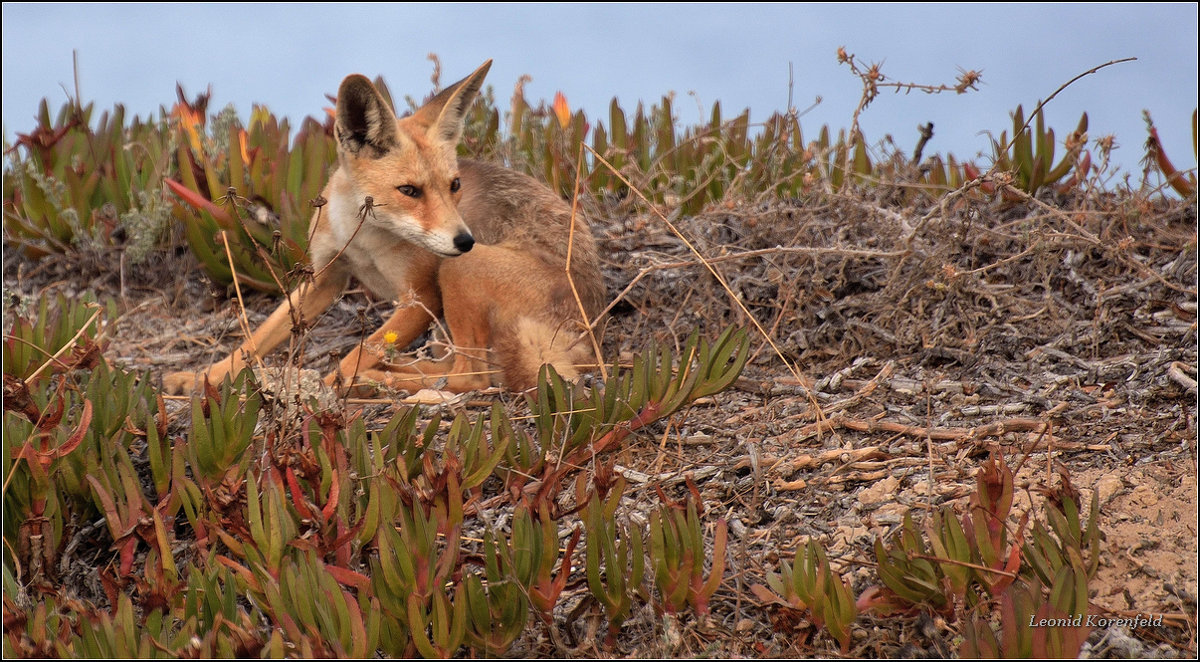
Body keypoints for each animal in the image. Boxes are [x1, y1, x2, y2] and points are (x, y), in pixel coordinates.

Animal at [163, 60, 604, 393]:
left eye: (454, 185)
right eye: (409, 190)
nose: (465, 239)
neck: (363, 242)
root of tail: (588, 334)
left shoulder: (421, 298)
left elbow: (353, 355)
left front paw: (332, 386)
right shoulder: (324, 277)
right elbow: (257, 339)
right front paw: (206, 376)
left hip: (457, 274)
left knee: (472, 378)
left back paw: (380, 382)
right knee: (465, 369)